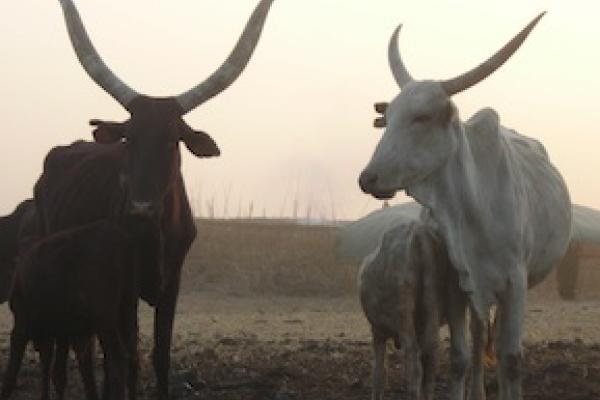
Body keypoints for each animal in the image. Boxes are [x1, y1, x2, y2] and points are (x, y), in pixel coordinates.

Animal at [0, 220, 144, 400]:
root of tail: (121, 241)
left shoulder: (22, 324)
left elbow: (12, 373)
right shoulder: (64, 332)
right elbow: (56, 370)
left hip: (106, 322)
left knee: (117, 360)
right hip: (127, 311)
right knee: (133, 358)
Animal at [38, 1, 278, 398]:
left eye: (171, 140)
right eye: (130, 139)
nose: (140, 209)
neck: (155, 234)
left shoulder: (172, 283)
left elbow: (160, 356)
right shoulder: (124, 290)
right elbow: (127, 359)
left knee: (84, 349)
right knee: (65, 352)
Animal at [356, 14, 572, 400]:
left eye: (422, 118)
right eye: (389, 117)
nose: (368, 179)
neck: (472, 208)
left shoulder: (516, 281)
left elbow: (511, 358)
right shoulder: (457, 279)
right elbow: (459, 355)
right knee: (478, 335)